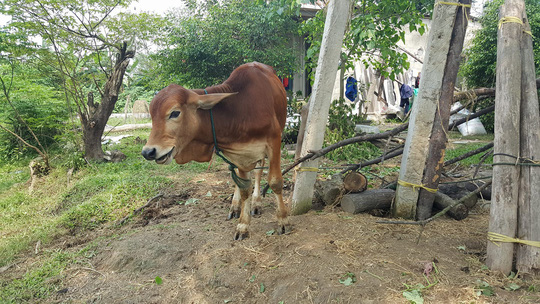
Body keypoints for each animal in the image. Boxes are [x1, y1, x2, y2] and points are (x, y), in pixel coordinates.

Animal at [141, 62, 288, 240]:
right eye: (152, 116)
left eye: (175, 113)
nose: (148, 152)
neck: (240, 110)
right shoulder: (239, 154)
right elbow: (244, 188)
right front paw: (243, 225)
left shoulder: (274, 142)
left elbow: (275, 182)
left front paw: (283, 220)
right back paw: (235, 206)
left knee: (259, 172)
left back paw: (256, 202)